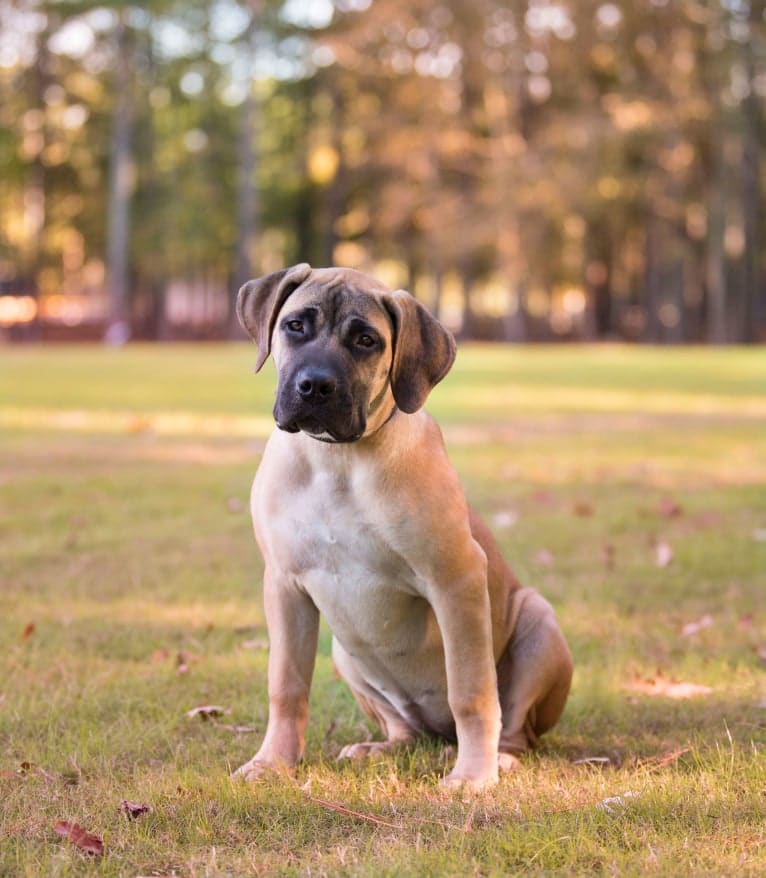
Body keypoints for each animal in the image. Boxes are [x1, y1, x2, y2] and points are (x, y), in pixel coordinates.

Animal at [234, 262, 576, 792]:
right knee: (405, 728)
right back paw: (379, 748)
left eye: (366, 341)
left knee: (515, 725)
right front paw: (273, 762)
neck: (338, 461)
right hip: (347, 654)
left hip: (540, 624)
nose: (315, 385)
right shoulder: (285, 585)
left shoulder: (456, 579)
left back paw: (499, 757)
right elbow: (286, 685)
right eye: (295, 326)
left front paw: (472, 776)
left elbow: (472, 692)